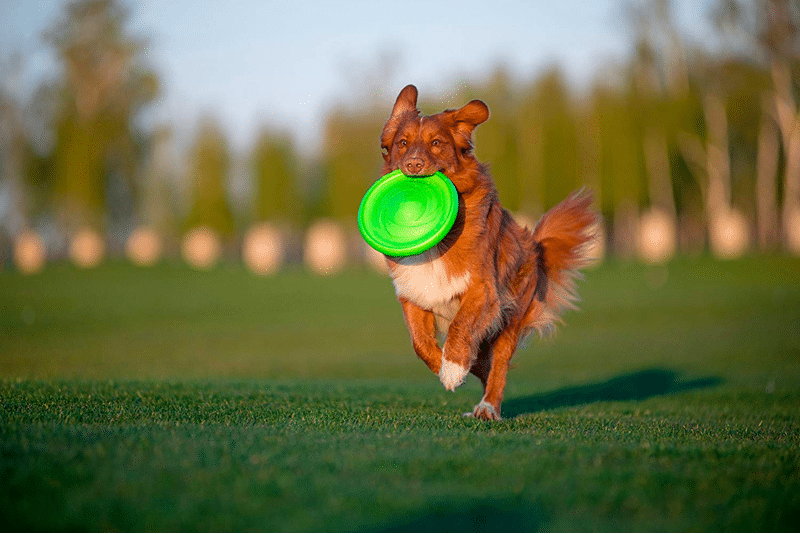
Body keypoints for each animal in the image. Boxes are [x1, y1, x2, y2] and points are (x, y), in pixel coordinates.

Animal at [378, 85, 596, 422]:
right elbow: (420, 344)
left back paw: (488, 407)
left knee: (499, 367)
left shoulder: (484, 291)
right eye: (402, 143)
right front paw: (447, 367)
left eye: (436, 143)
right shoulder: (413, 293)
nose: (413, 164)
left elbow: (460, 326)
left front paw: (453, 367)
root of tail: (534, 244)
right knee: (484, 364)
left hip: (512, 316)